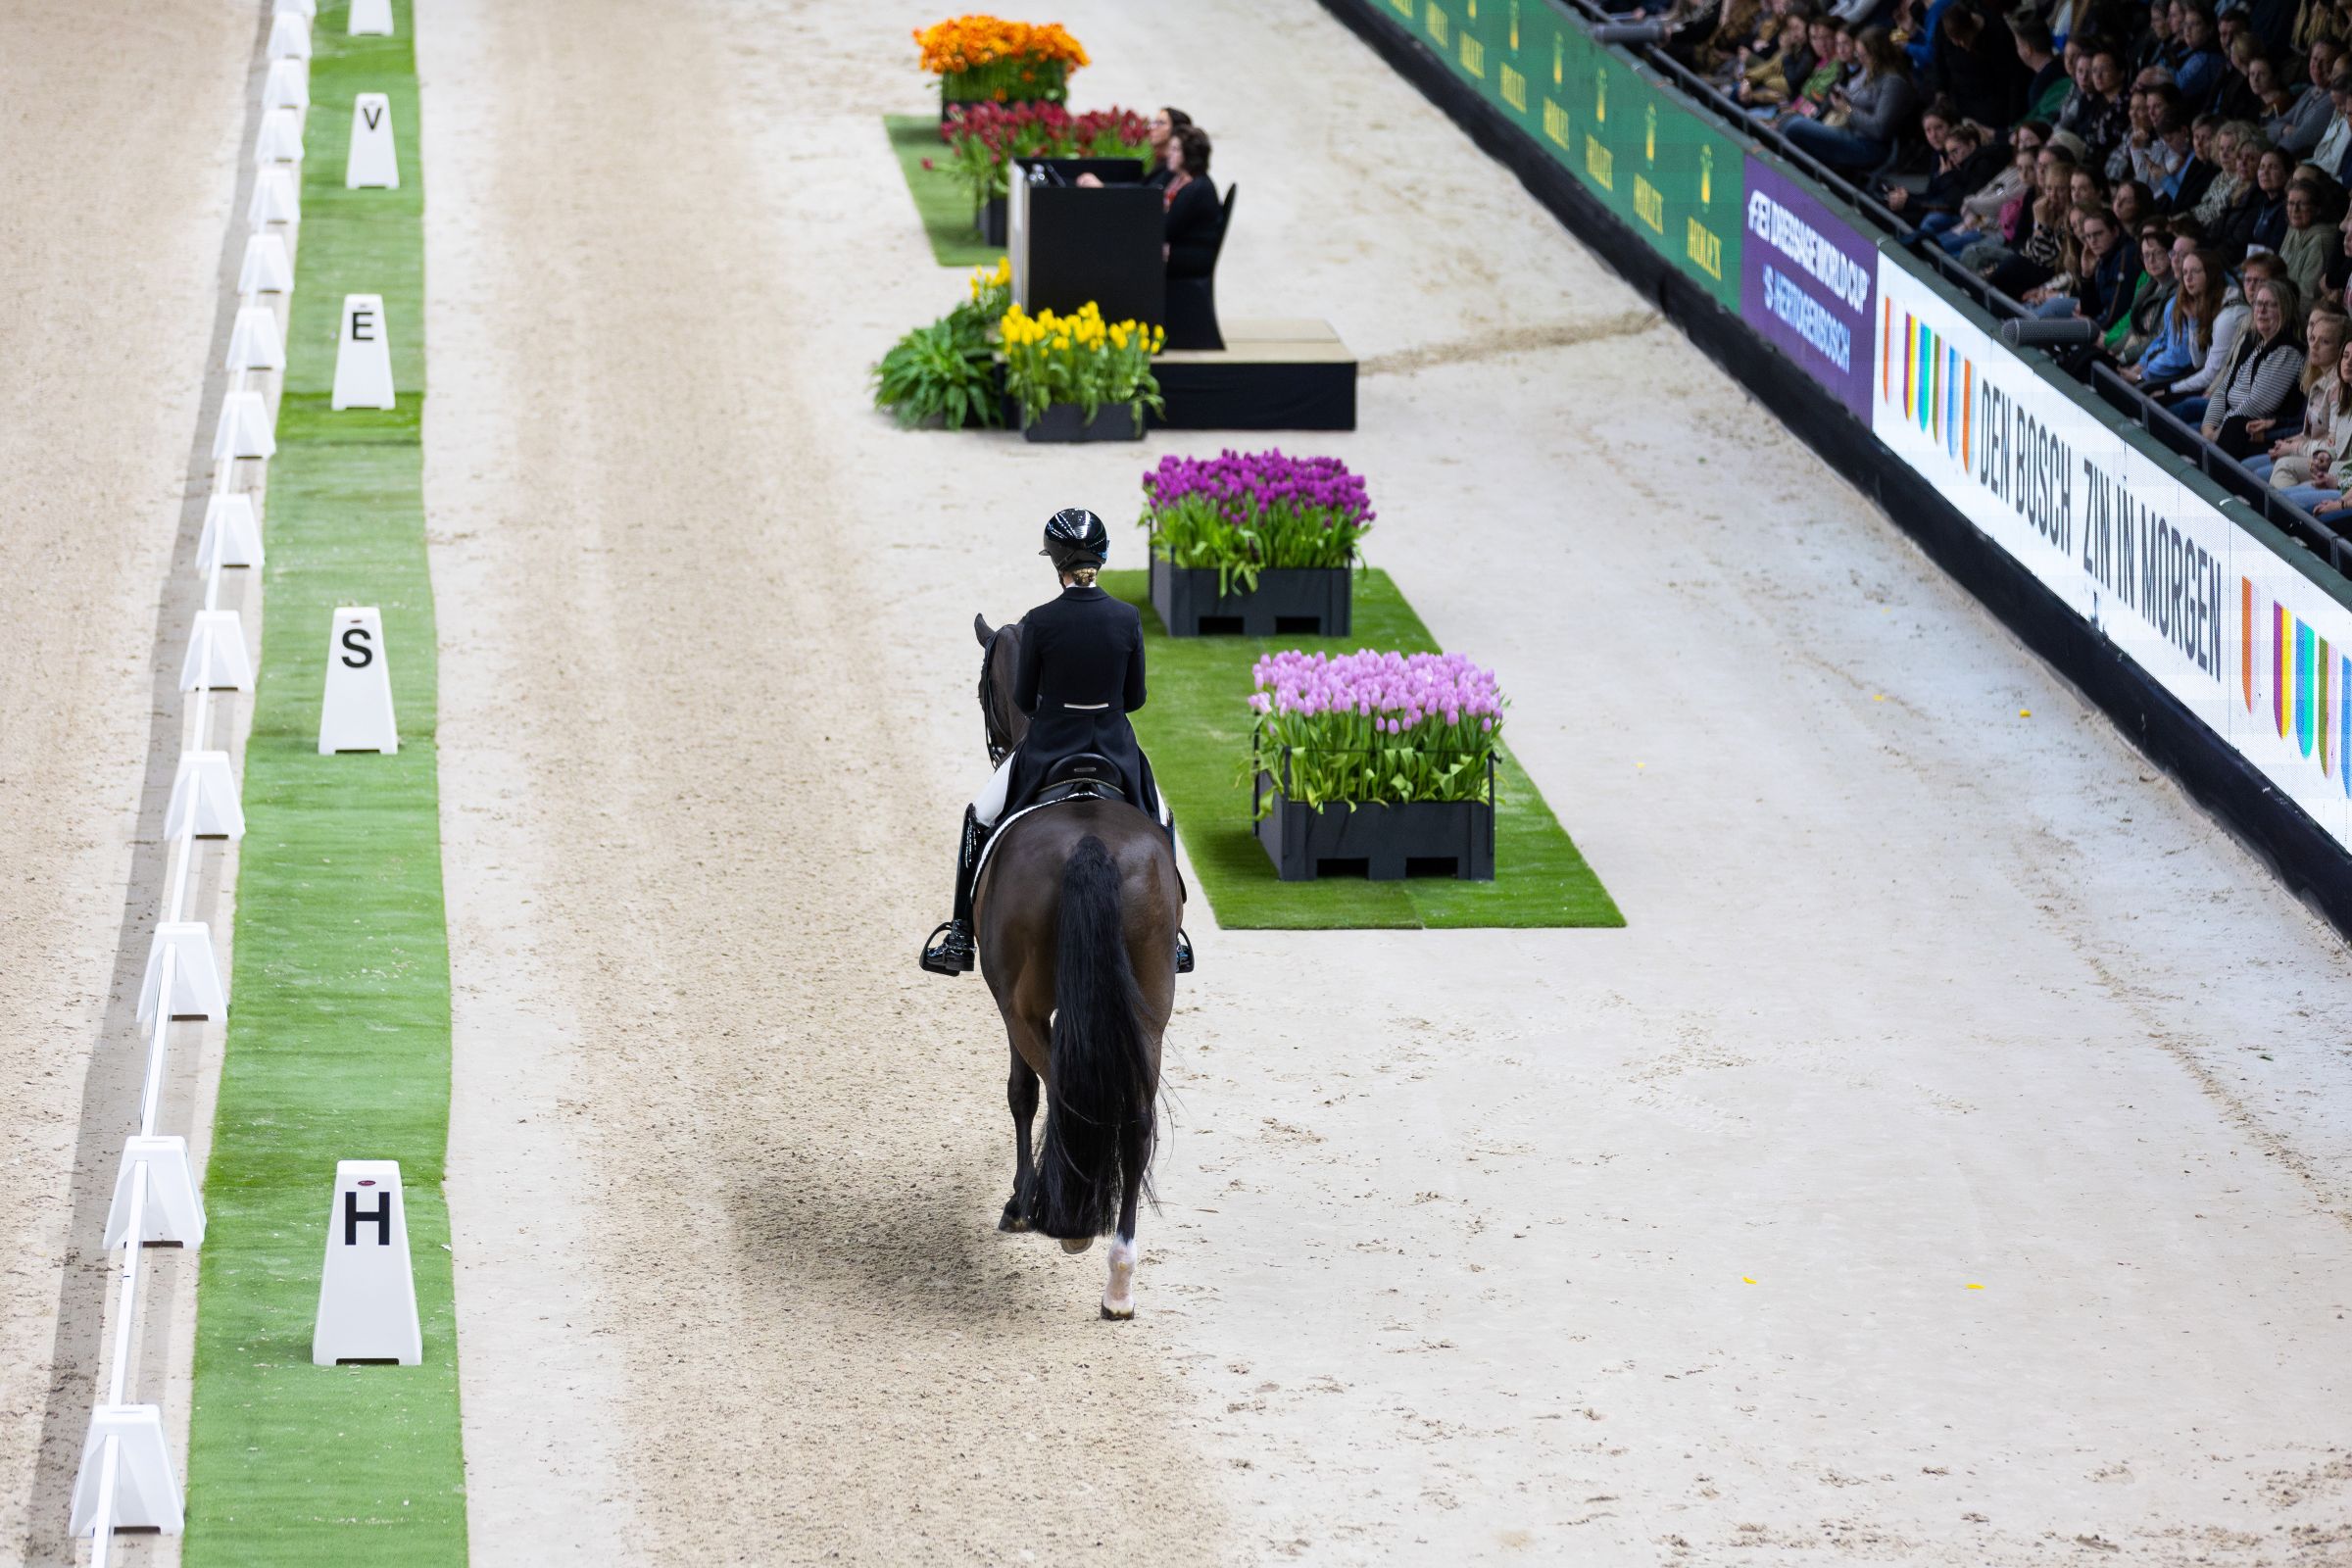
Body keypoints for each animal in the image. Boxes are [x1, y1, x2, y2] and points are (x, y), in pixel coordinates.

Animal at [970, 612, 1181, 1319]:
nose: (995, 743)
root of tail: (1090, 837)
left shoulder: (1014, 1008)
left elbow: (1021, 1092)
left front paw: (1020, 1203)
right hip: (1150, 1004)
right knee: (1135, 1118)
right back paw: (1119, 1280)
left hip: (1024, 1002)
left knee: (1062, 1086)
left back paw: (1069, 1226)